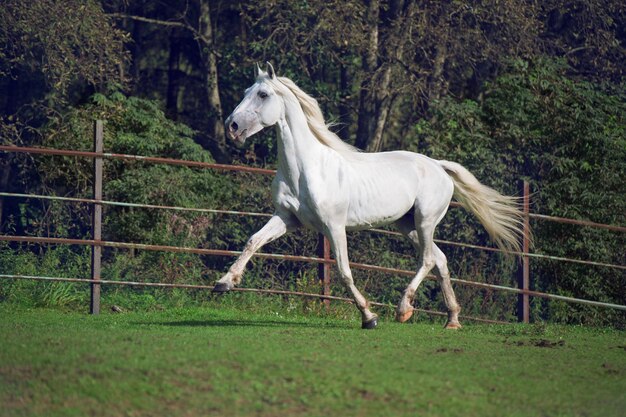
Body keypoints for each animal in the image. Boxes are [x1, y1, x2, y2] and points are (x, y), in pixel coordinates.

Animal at [214, 63, 520, 328]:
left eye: (263, 94)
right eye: (245, 92)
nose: (231, 126)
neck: (305, 169)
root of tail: (438, 165)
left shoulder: (334, 227)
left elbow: (344, 271)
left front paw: (369, 317)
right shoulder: (286, 218)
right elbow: (253, 241)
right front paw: (225, 282)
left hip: (425, 220)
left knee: (428, 260)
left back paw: (404, 309)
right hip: (407, 225)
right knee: (440, 259)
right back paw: (452, 320)